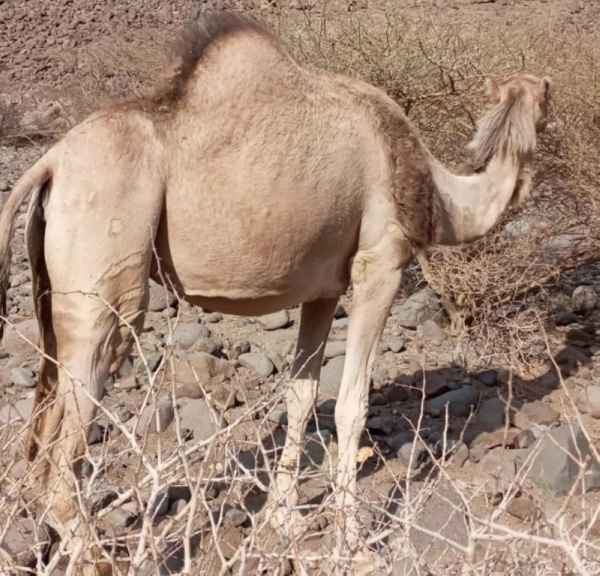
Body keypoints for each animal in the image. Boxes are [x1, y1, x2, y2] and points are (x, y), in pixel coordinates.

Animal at [0, 10, 552, 576]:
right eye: (545, 97)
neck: (440, 196)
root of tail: (51, 163)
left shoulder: (324, 289)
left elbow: (301, 397)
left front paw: (285, 522)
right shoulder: (380, 264)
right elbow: (351, 405)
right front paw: (354, 542)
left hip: (51, 285)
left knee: (44, 417)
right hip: (107, 268)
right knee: (79, 406)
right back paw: (96, 554)